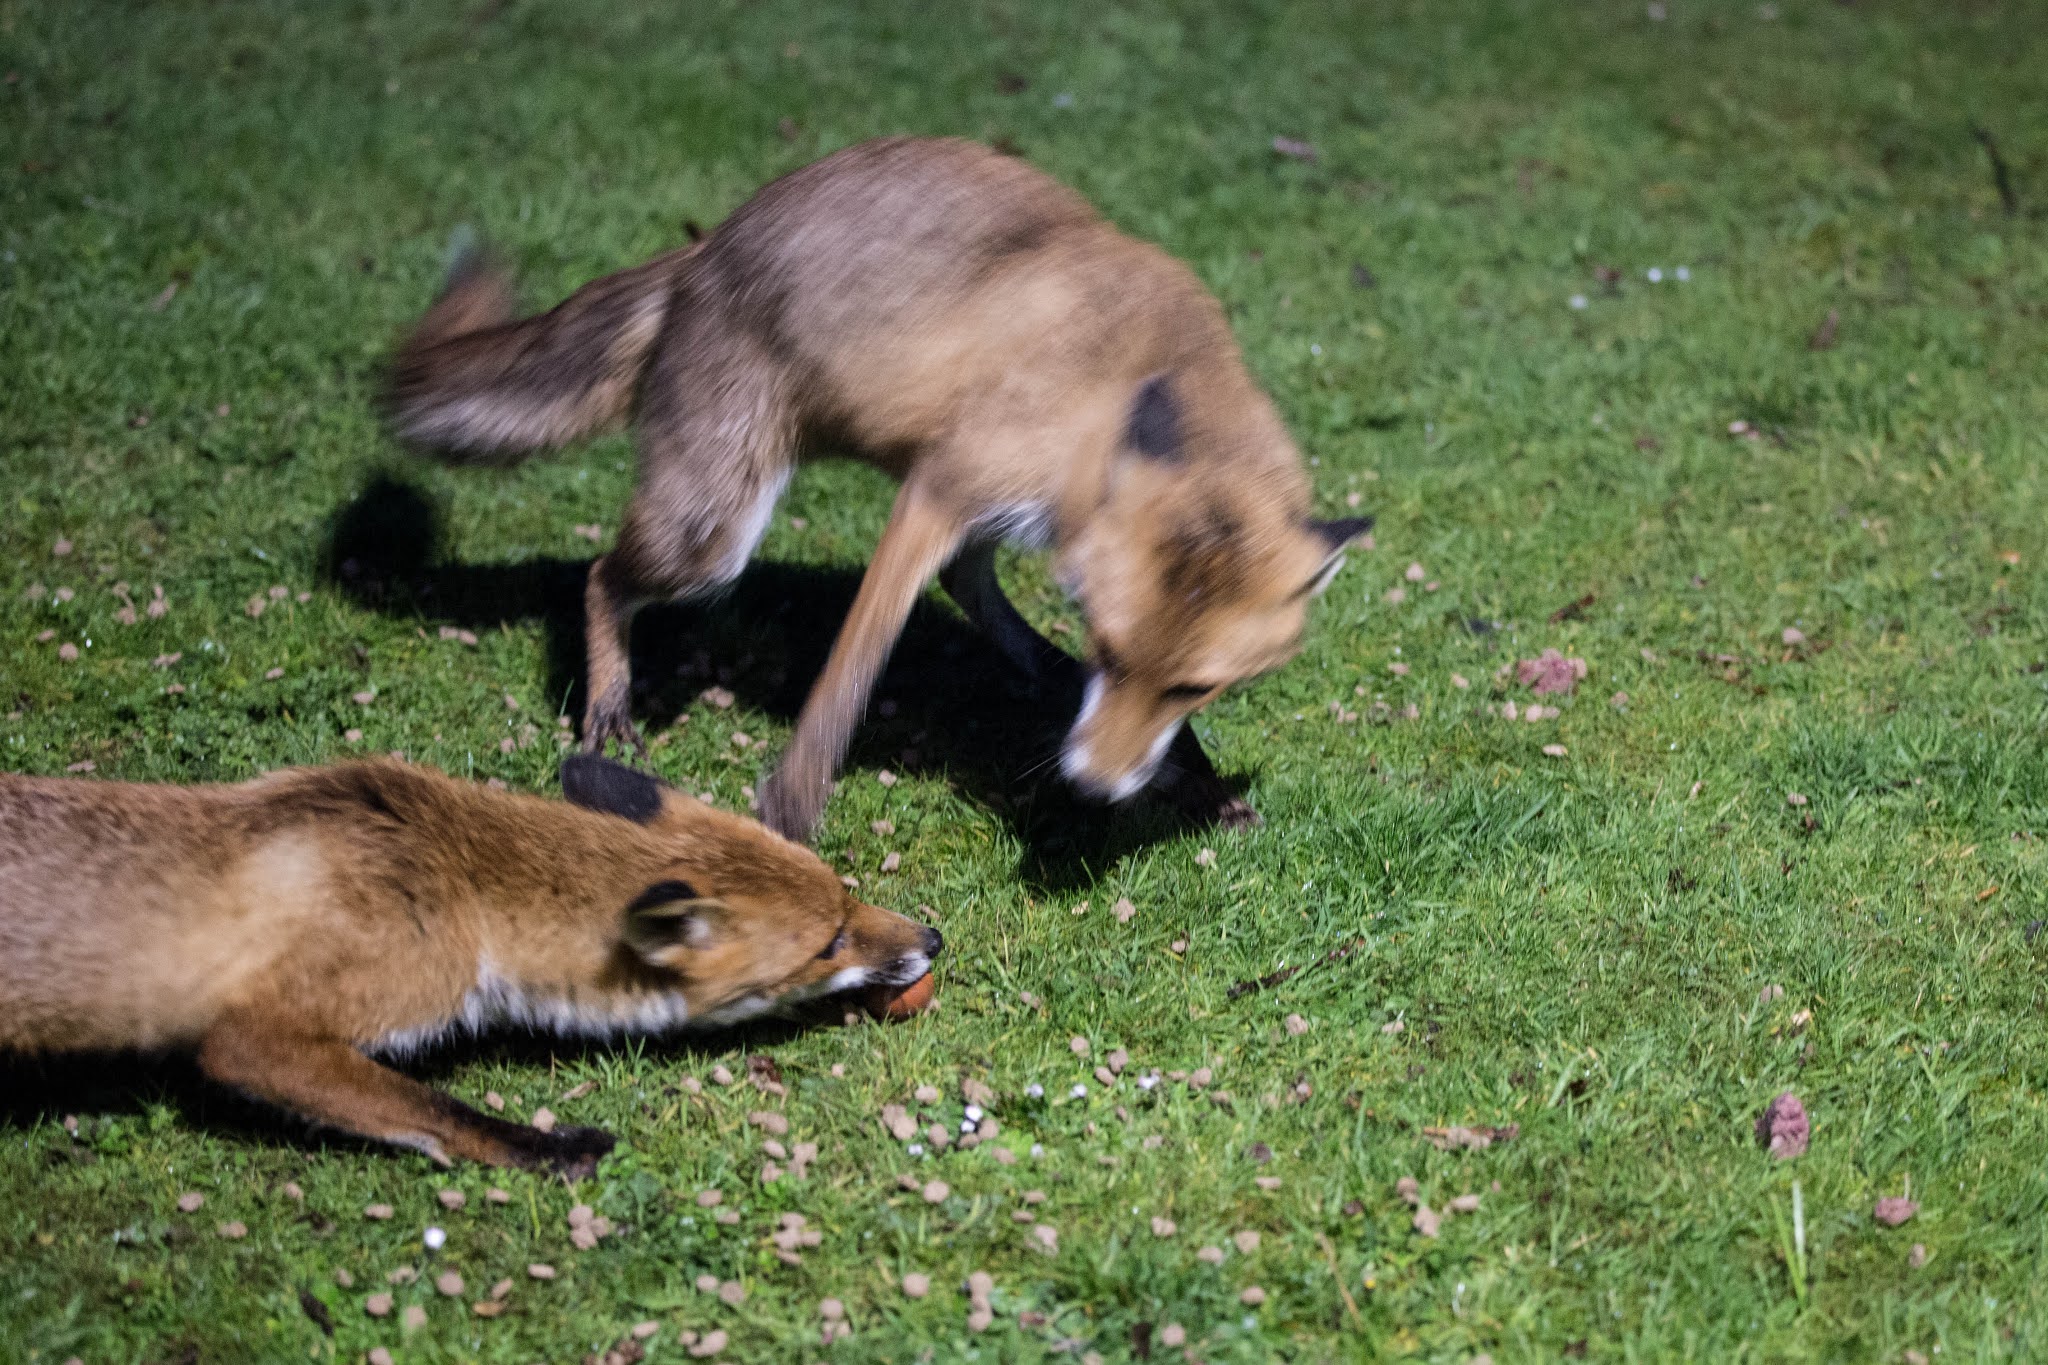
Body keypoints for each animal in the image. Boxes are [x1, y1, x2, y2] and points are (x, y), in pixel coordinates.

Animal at [0, 754, 940, 1173]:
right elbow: (438, 1112)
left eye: (849, 895)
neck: (457, 879)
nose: (933, 940)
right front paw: (545, 1148)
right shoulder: (255, 1038)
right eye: (829, 942)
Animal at [388, 136, 1369, 842]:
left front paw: (1192, 779)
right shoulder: (934, 496)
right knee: (599, 575)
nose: (1091, 786)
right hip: (711, 534)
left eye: (1192, 686)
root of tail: (705, 248)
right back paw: (606, 702)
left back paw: (1039, 667)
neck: (1117, 382)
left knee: (971, 583)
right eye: (1111, 649)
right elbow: (846, 682)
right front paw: (788, 810)